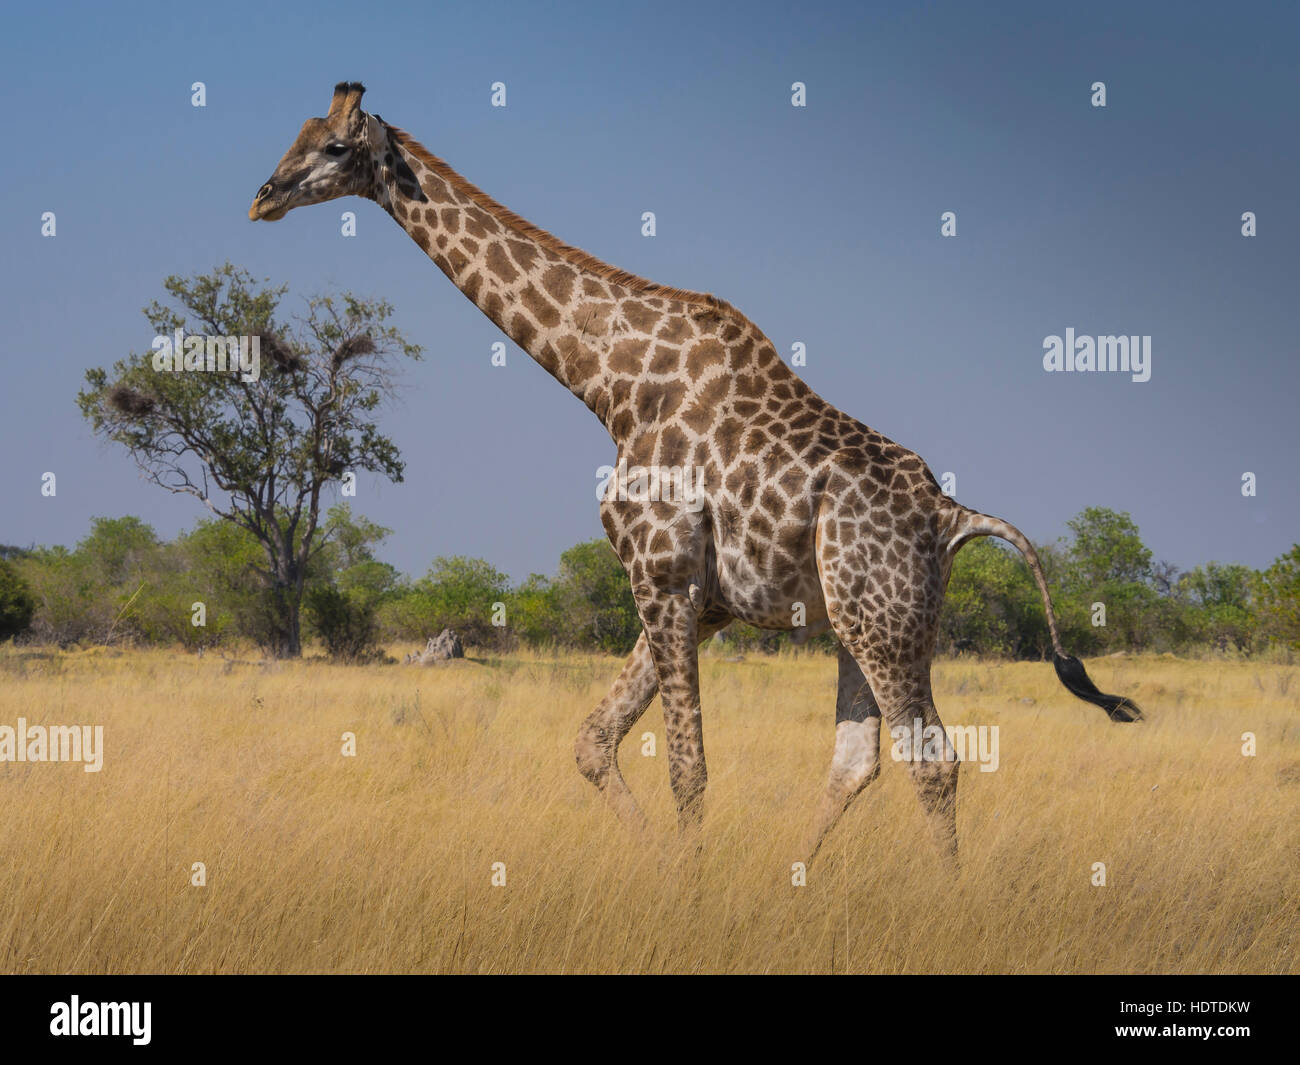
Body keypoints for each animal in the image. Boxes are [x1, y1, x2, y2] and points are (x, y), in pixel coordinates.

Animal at [248, 85, 1144, 868]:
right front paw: (674, 873)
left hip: (883, 621)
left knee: (931, 758)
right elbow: (593, 740)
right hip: (862, 621)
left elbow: (687, 768)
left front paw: (691, 891)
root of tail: (954, 515)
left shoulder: (663, 573)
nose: (262, 196)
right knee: (859, 757)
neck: (609, 383)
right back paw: (789, 885)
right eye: (295, 135)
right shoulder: (695, 596)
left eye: (333, 147)